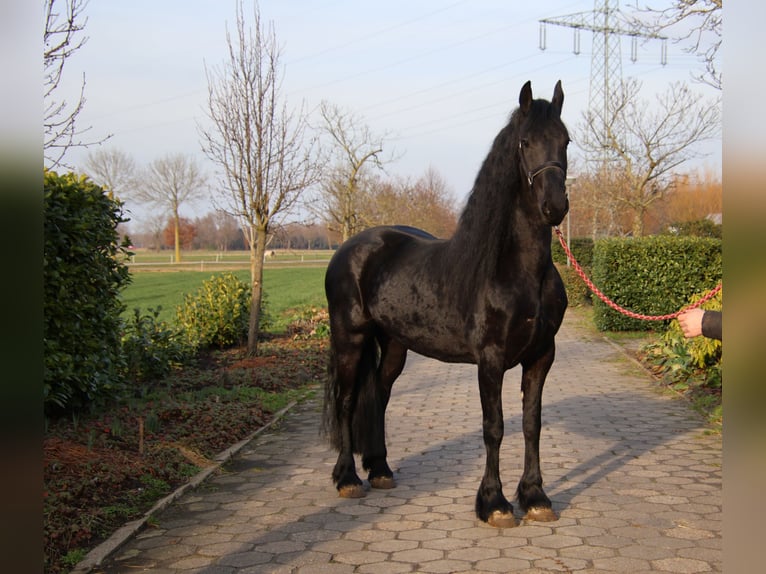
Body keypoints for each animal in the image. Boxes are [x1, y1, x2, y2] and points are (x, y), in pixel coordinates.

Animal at [322, 81, 570, 527]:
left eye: (566, 140)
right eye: (525, 142)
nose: (555, 206)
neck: (517, 270)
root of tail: (349, 249)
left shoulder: (542, 356)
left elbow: (532, 424)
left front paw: (536, 497)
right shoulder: (490, 360)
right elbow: (494, 427)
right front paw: (494, 503)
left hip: (394, 345)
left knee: (378, 396)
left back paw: (380, 470)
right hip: (349, 338)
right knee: (347, 401)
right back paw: (348, 478)